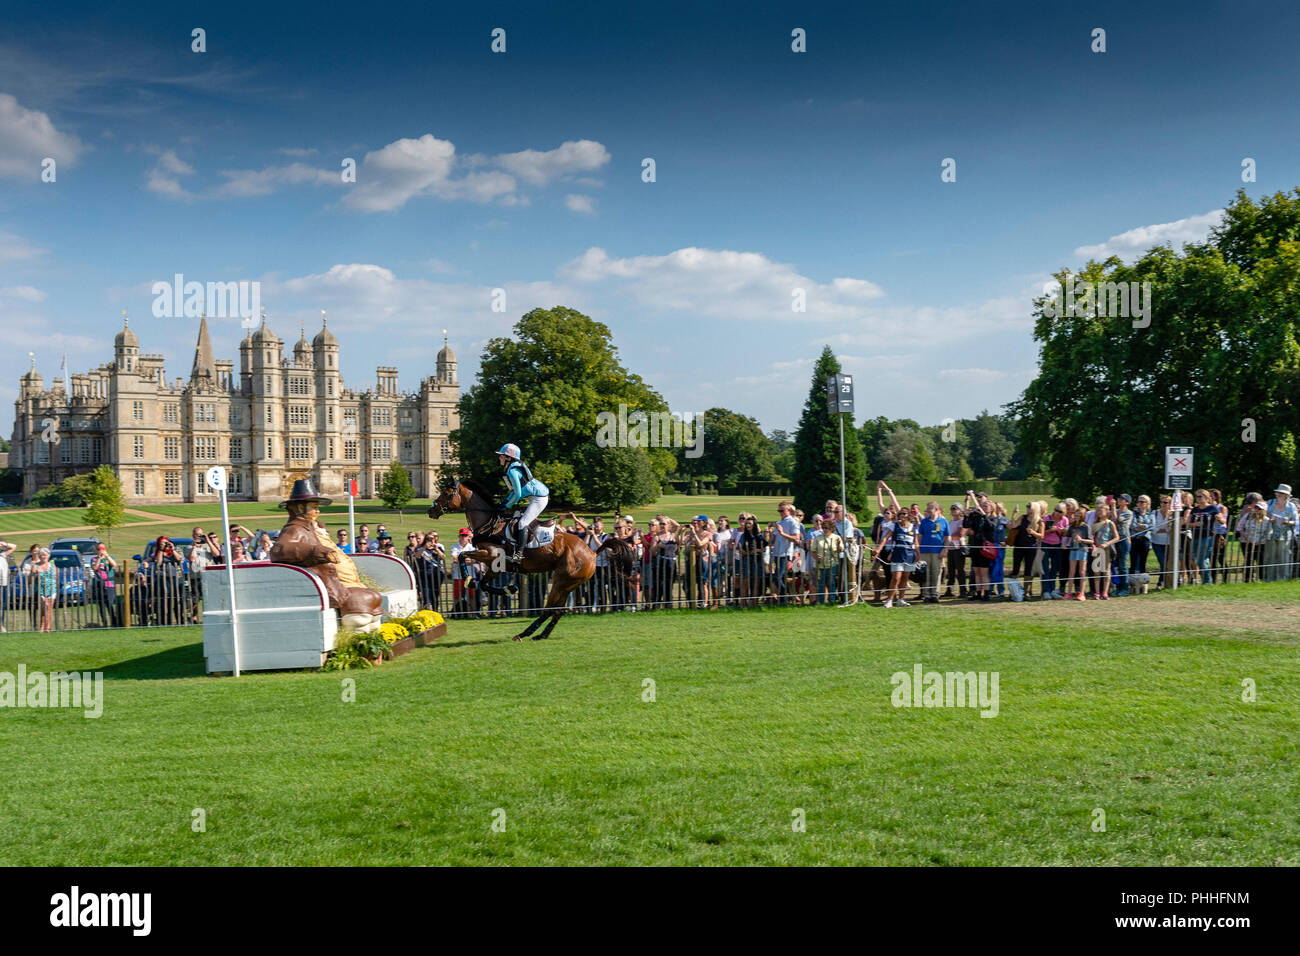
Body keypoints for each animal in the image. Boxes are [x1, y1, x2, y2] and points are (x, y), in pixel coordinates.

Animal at [426, 478, 634, 642]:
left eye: (446, 493)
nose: (431, 510)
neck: (489, 525)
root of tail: (592, 552)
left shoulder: (493, 555)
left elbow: (463, 555)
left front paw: (469, 579)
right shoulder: (495, 566)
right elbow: (484, 584)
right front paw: (509, 588)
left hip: (560, 581)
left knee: (549, 610)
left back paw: (524, 634)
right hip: (569, 584)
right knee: (558, 611)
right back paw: (541, 635)